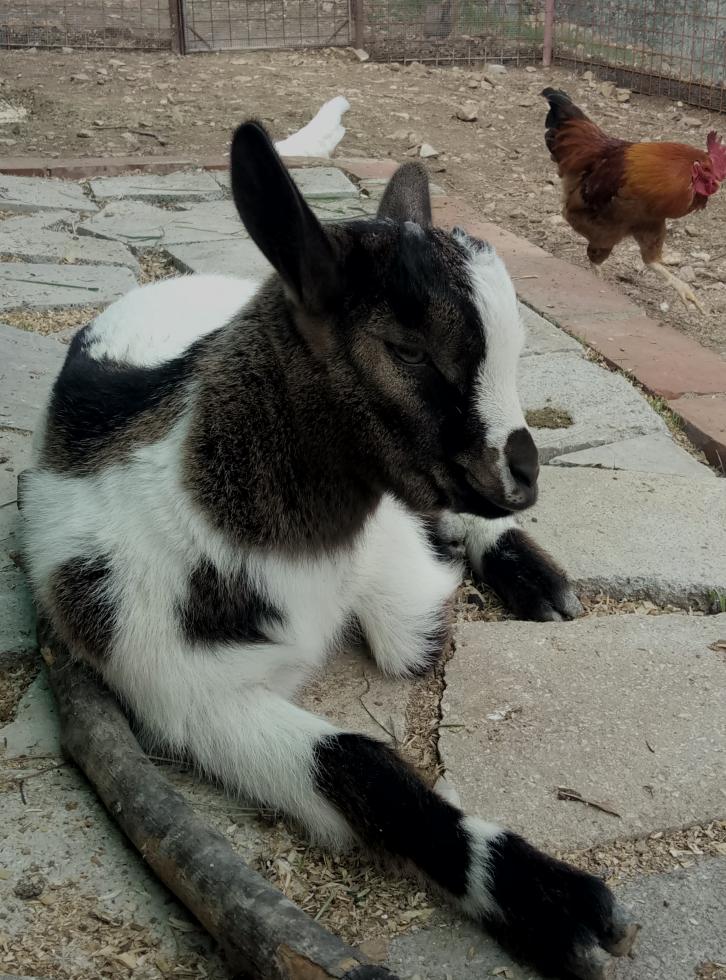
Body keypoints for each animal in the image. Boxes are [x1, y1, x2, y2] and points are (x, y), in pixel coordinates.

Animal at [20, 120, 636, 979]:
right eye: (407, 349)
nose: (521, 478)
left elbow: (414, 624)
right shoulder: (189, 695)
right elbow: (360, 764)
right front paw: (554, 903)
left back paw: (538, 580)